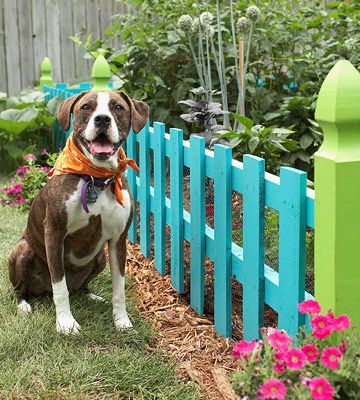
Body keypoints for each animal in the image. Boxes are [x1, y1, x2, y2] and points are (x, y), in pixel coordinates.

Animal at [8, 90, 149, 334]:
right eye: (86, 107)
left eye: (118, 107)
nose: (102, 119)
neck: (97, 179)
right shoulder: (54, 235)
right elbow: (59, 286)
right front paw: (65, 323)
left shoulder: (118, 241)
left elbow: (119, 288)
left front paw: (122, 322)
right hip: (22, 250)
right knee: (25, 288)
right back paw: (23, 304)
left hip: (100, 258)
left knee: (78, 287)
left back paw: (91, 296)